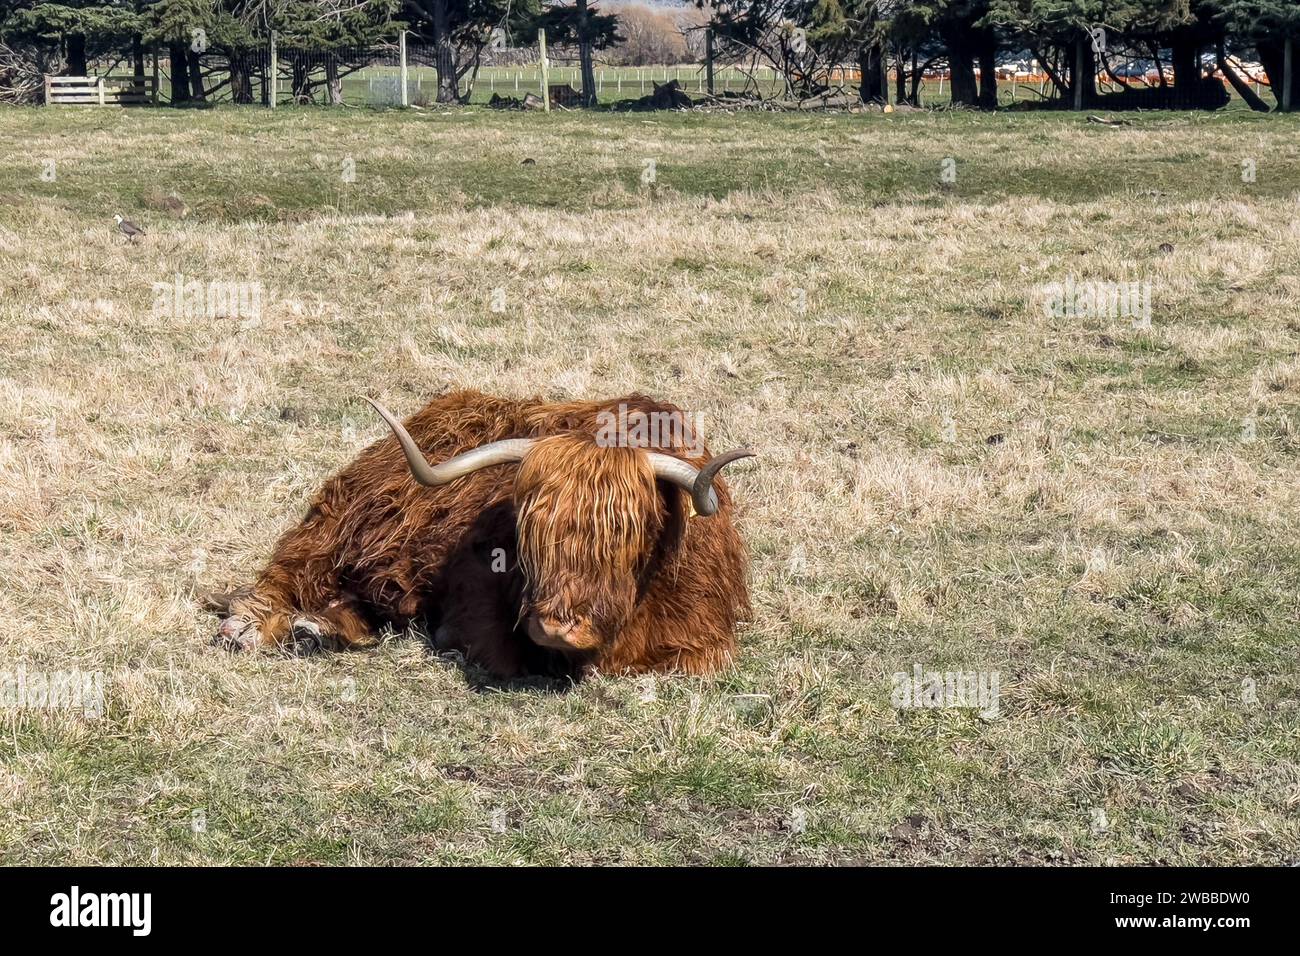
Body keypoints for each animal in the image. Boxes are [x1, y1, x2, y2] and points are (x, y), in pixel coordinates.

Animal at [208, 390, 755, 679]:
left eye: (626, 532)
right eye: (530, 530)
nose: (556, 627)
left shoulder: (705, 636)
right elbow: (497, 652)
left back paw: (317, 629)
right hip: (334, 527)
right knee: (286, 574)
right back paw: (253, 627)